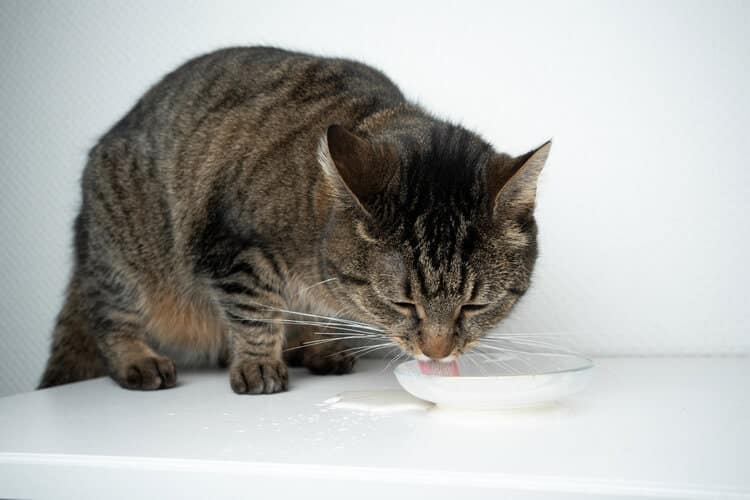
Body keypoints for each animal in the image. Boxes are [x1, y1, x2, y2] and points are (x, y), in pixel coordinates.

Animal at [38, 47, 548, 392]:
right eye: (403, 304)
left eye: (474, 307)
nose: (436, 352)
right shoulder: (234, 249)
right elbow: (256, 310)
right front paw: (259, 363)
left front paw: (318, 340)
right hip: (121, 251)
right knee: (111, 319)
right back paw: (138, 360)